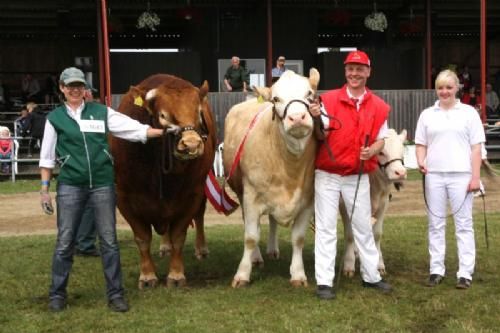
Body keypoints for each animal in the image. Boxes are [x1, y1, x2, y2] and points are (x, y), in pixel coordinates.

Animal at [111, 74, 215, 288]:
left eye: (199, 112)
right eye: (163, 116)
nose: (191, 144)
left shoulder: (192, 195)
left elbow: (178, 236)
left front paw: (176, 275)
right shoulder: (123, 197)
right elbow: (142, 237)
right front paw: (147, 275)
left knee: (199, 215)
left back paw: (201, 249)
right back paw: (165, 247)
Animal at [224, 68, 318, 286]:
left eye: (309, 93)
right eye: (276, 99)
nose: (297, 117)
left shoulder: (307, 201)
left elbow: (298, 238)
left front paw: (298, 274)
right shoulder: (250, 197)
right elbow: (251, 236)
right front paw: (242, 274)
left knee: (273, 221)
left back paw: (273, 249)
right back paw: (257, 257)